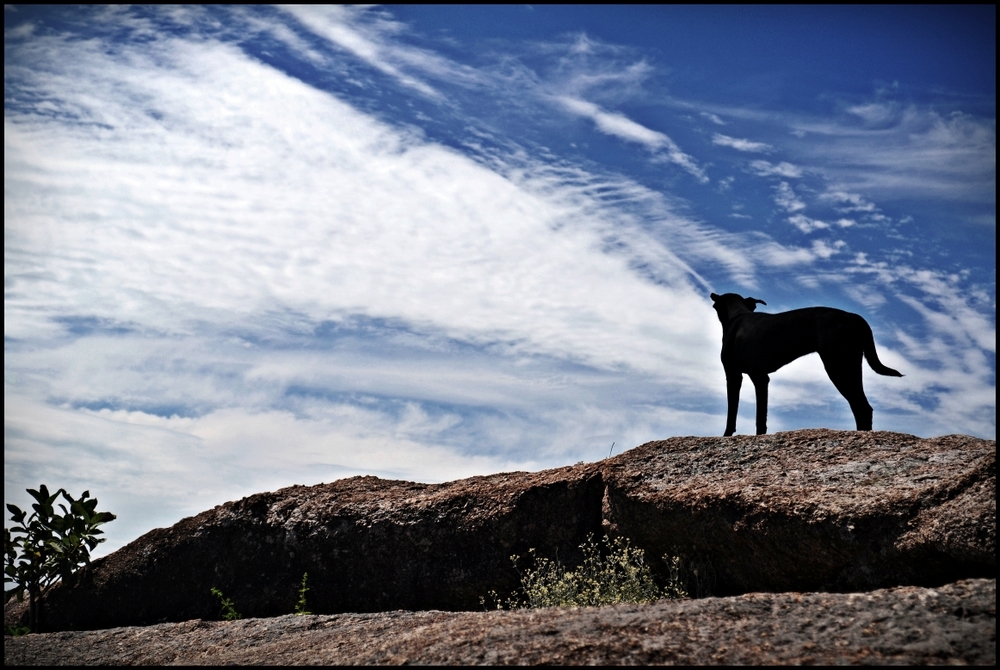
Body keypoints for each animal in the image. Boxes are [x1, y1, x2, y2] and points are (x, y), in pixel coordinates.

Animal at [708, 292, 904, 438]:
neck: (738, 314)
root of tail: (853, 317)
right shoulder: (761, 378)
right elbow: (761, 416)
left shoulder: (734, 375)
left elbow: (732, 411)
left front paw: (726, 435)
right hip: (852, 366)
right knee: (863, 407)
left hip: (838, 367)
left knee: (861, 407)